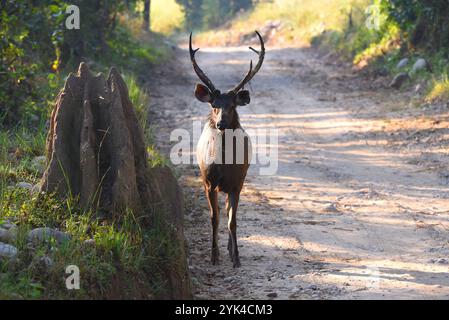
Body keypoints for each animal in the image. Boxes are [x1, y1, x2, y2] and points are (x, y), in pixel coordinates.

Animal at [188, 31, 264, 268]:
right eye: (214, 106)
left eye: (232, 106)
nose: (221, 123)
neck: (224, 165)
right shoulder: (208, 182)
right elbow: (215, 218)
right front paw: (214, 256)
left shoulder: (237, 183)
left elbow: (233, 221)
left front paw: (236, 258)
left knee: (231, 212)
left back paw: (231, 250)